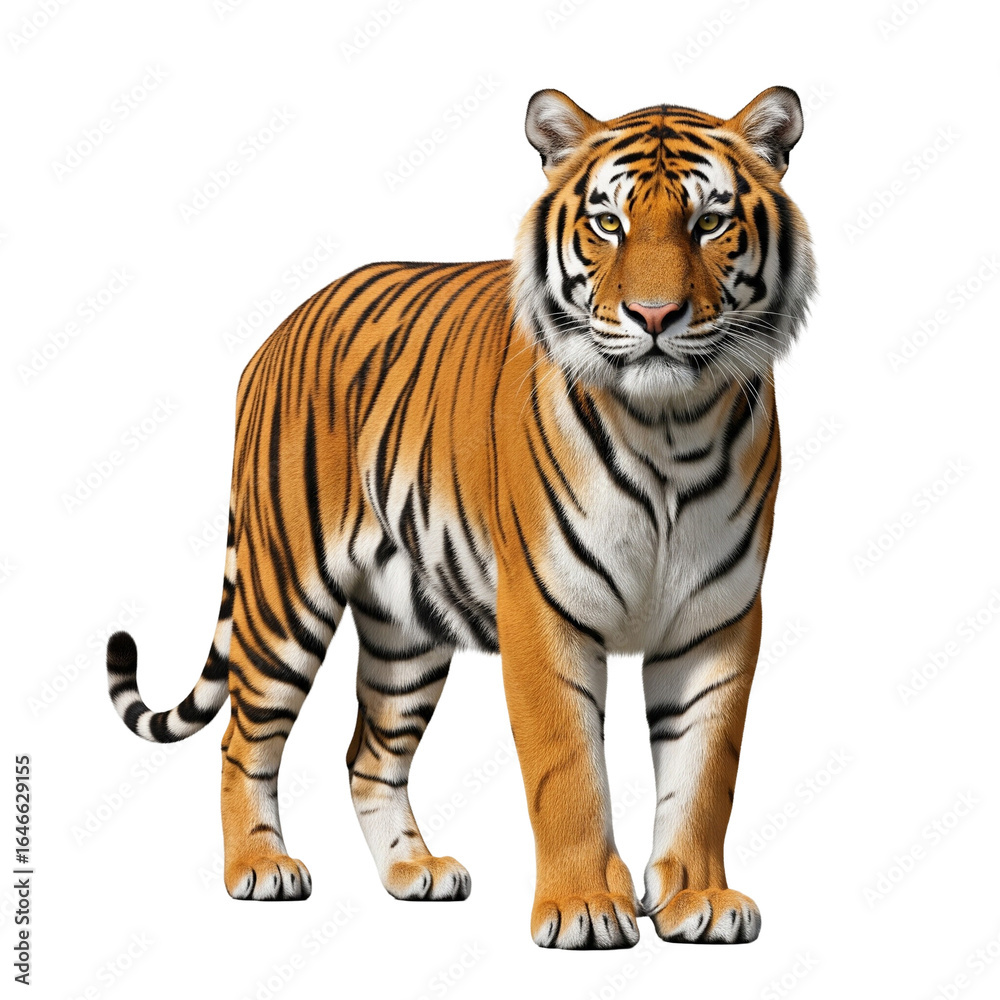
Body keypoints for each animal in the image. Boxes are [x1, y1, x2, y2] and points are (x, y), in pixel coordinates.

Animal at [106, 85, 815, 950]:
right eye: (608, 223)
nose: (653, 315)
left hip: (405, 628)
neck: (669, 428)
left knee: (368, 753)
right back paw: (261, 867)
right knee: (245, 734)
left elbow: (705, 771)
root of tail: (280, 330)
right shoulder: (543, 610)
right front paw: (584, 907)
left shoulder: (716, 619)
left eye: (710, 222)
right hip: (285, 591)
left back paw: (415, 871)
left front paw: (697, 900)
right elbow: (567, 768)